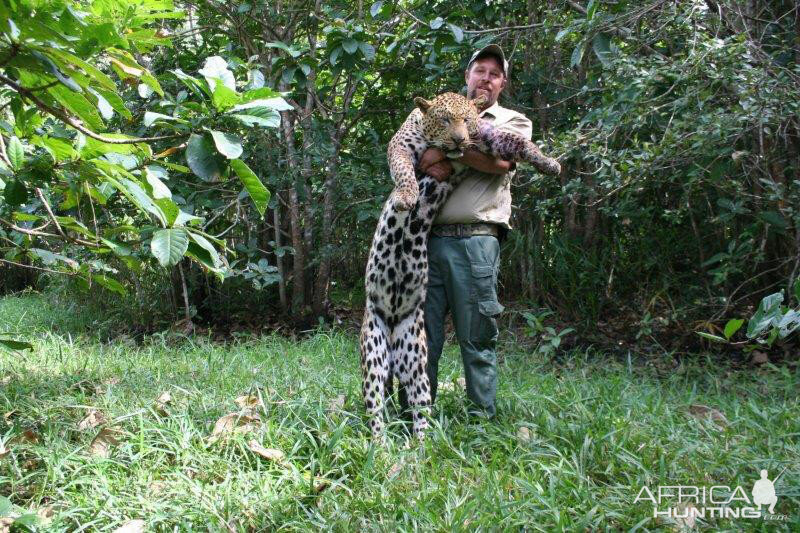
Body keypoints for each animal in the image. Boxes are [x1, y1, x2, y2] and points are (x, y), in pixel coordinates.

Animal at [360, 92, 560, 440]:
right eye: (444, 120)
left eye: (467, 121)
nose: (459, 139)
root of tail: (394, 319)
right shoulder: (401, 145)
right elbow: (403, 170)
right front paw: (406, 197)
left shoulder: (488, 139)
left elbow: (519, 142)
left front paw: (549, 162)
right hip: (373, 356)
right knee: (376, 414)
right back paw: (380, 446)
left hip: (416, 361)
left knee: (420, 407)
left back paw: (418, 447)